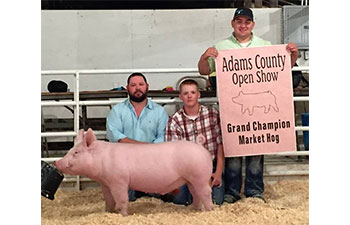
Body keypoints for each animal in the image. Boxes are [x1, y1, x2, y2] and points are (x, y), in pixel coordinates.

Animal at [54, 128, 213, 216]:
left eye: (76, 152)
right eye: (70, 150)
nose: (57, 162)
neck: (102, 159)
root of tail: (200, 146)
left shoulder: (118, 181)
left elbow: (121, 199)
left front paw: (124, 215)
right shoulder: (105, 184)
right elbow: (109, 200)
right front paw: (108, 212)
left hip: (200, 177)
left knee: (206, 192)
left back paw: (209, 210)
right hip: (191, 180)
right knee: (195, 194)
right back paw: (195, 210)